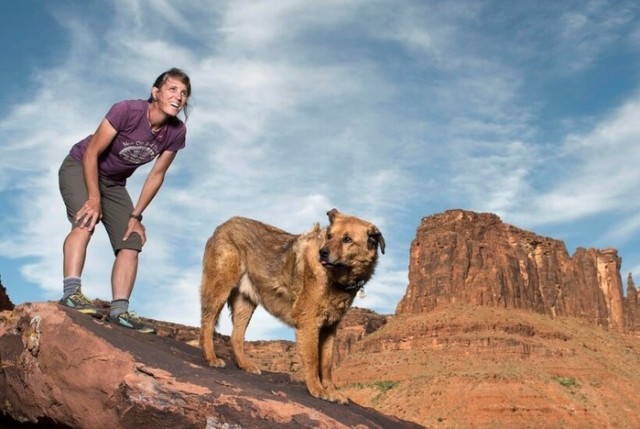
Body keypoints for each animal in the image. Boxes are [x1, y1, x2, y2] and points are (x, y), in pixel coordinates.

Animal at [199, 209, 384, 402]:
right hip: (220, 288)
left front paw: (332, 392)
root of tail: (224, 224)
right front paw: (317, 390)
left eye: (347, 239)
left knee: (236, 337)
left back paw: (245, 365)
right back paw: (211, 358)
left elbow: (326, 365)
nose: (323, 253)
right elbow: (313, 360)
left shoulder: (330, 328)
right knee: (207, 323)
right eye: (329, 236)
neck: (336, 279)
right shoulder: (308, 322)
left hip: (245, 303)